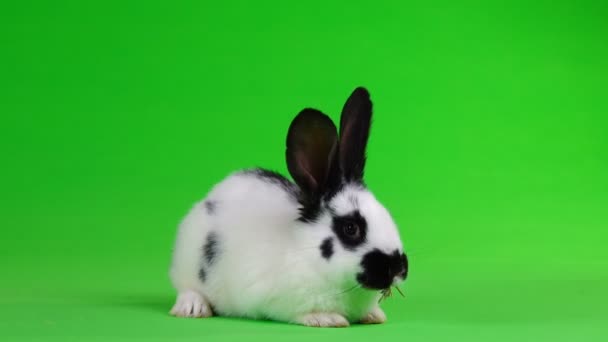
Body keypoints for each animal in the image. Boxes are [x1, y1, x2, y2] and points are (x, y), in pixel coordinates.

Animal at [167, 86, 408, 326]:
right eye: (351, 228)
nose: (400, 269)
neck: (305, 250)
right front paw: (327, 318)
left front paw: (374, 315)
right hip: (188, 263)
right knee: (186, 287)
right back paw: (193, 308)